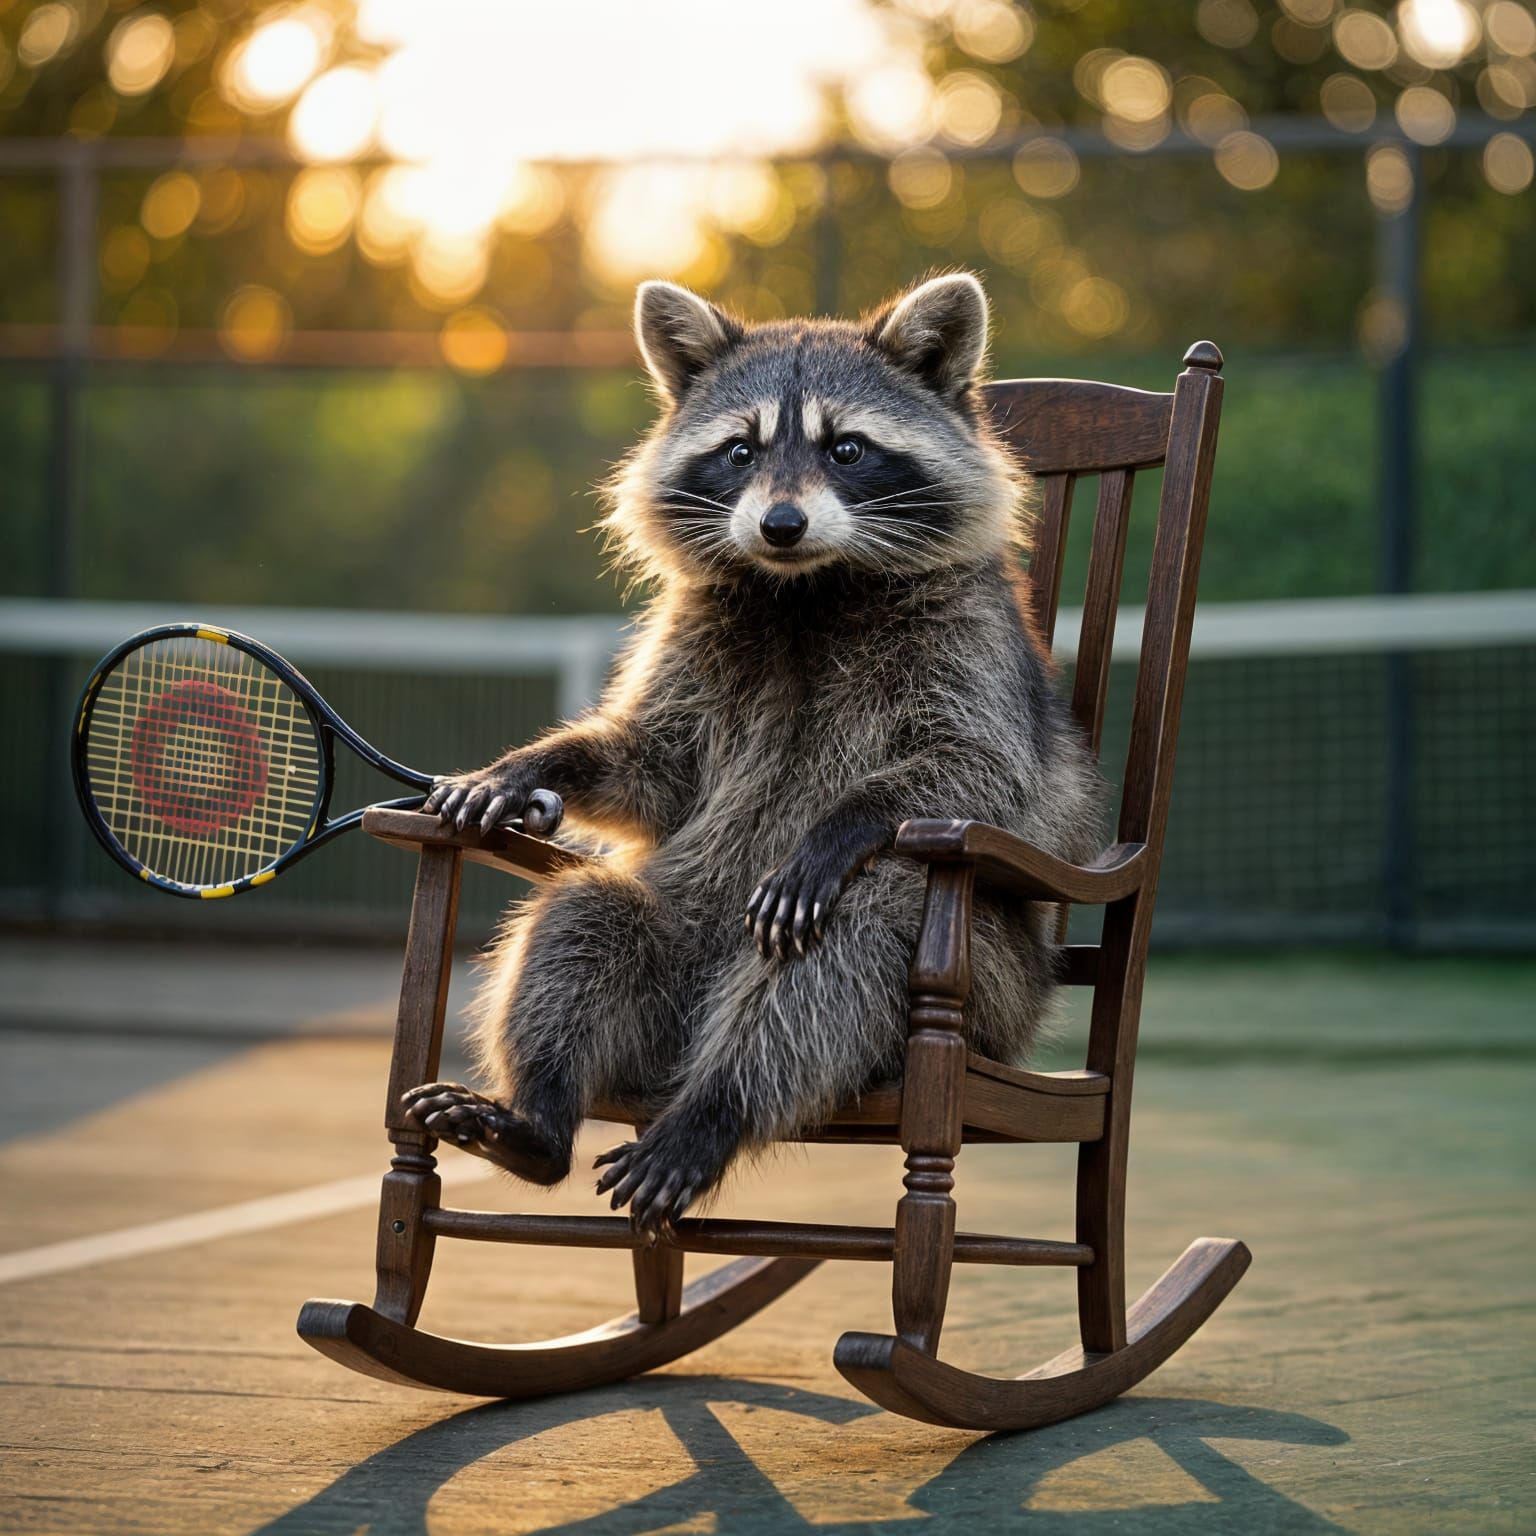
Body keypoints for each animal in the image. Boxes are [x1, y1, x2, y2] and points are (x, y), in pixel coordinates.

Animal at [405, 273, 1102, 1234]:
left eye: (847, 449)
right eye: (739, 452)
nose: (780, 522)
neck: (803, 587)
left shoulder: (972, 644)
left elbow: (976, 771)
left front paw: (841, 823)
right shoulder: (694, 639)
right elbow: (655, 768)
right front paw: (538, 769)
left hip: (986, 991)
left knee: (859, 925)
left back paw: (713, 1111)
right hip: (672, 952)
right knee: (588, 916)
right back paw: (538, 1119)